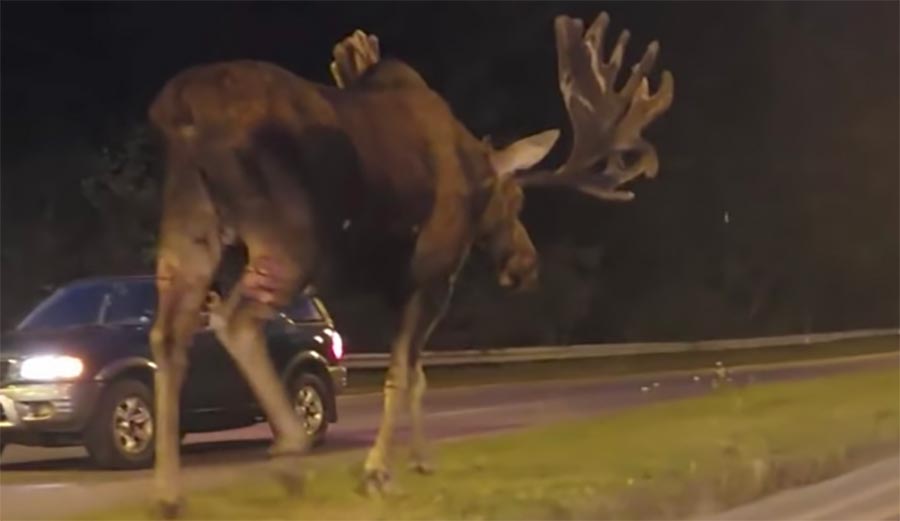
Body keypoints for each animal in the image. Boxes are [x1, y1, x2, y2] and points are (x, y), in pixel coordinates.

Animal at [146, 12, 673, 516]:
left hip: (187, 225)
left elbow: (416, 374)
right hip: (288, 237)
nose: (525, 265)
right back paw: (289, 456)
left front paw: (421, 459)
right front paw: (378, 471)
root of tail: (181, 108)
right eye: (515, 200)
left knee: (167, 335)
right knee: (233, 321)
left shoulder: (393, 285)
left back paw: (170, 494)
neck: (474, 173)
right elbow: (400, 372)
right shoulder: (435, 270)